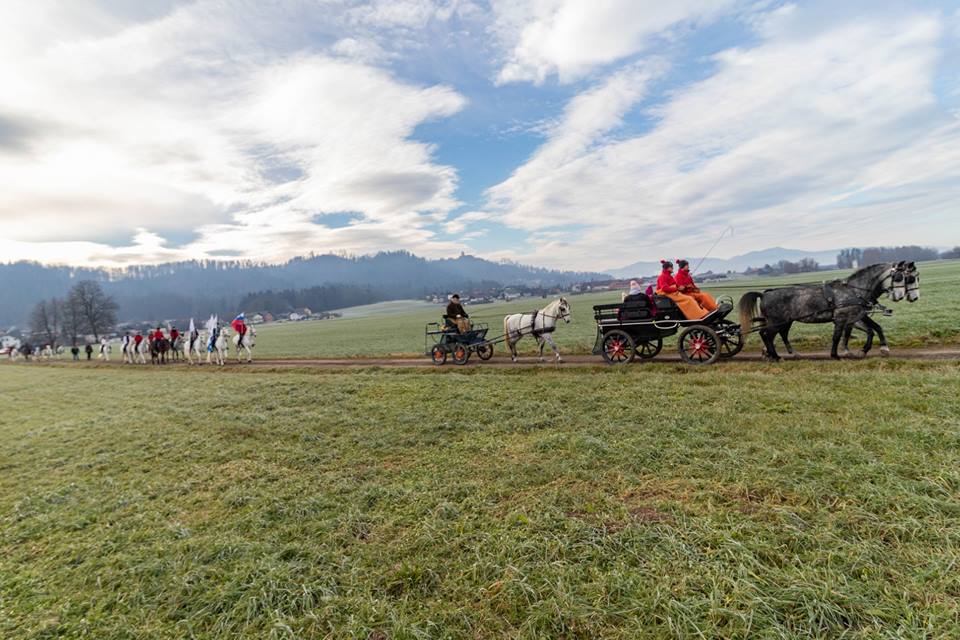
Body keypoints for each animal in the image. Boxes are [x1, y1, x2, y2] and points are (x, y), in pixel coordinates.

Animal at [739, 262, 917, 361]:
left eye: (912, 278)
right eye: (900, 277)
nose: (906, 296)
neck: (854, 290)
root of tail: (765, 293)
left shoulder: (855, 318)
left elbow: (869, 330)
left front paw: (867, 350)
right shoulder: (842, 318)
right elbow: (838, 336)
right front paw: (836, 355)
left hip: (784, 322)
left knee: (774, 334)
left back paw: (779, 354)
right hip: (776, 322)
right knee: (767, 335)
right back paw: (775, 356)